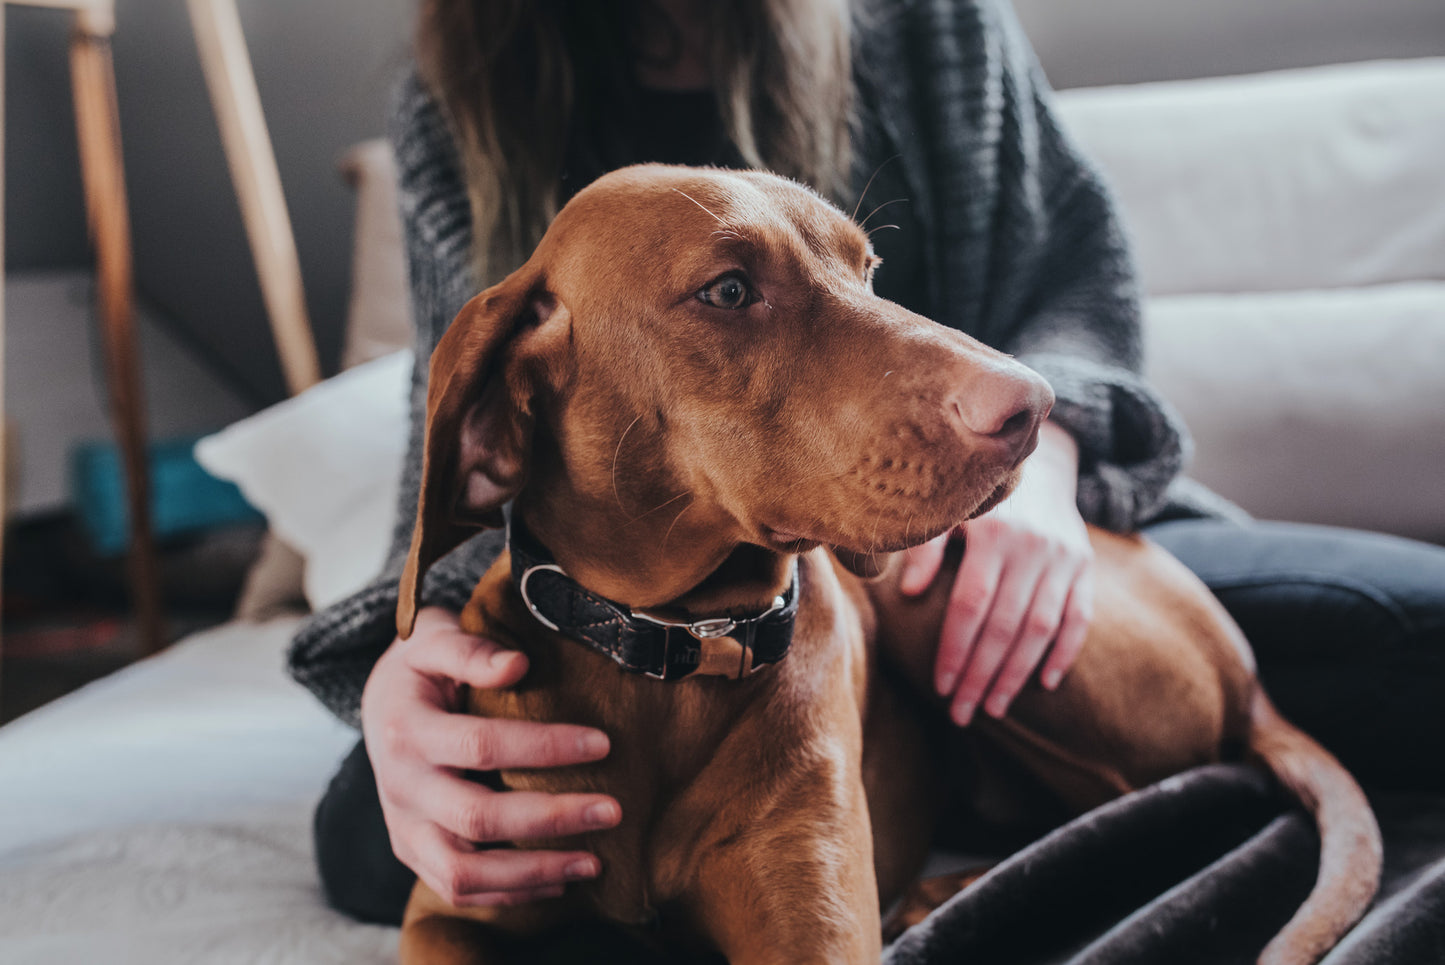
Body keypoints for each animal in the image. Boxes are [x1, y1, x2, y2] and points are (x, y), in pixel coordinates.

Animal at [393, 166, 1375, 965]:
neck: (667, 645)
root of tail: (1251, 676)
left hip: (941, 598)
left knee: (1156, 800)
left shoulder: (812, 928)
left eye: (868, 270)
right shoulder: (449, 911)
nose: (1030, 404)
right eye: (728, 289)